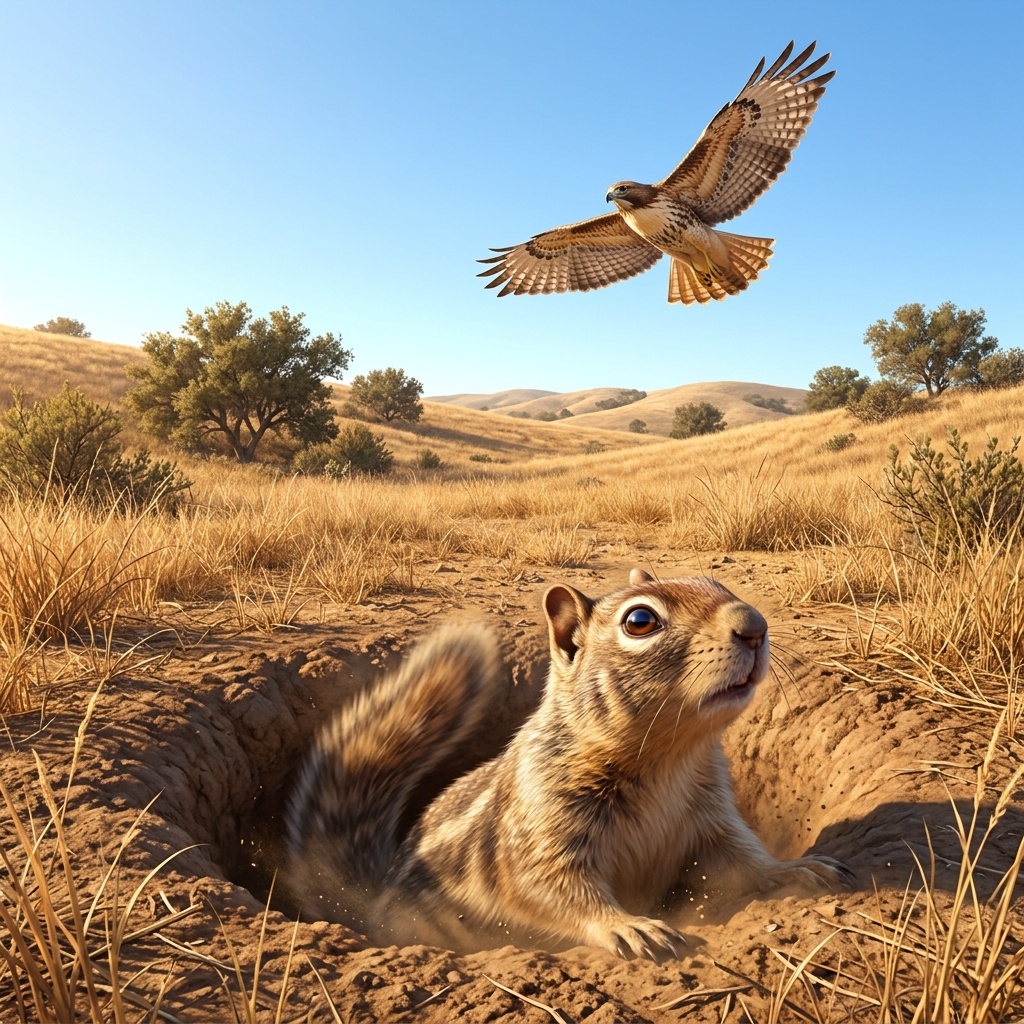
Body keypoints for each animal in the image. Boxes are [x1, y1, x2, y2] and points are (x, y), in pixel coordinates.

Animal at [286, 569, 855, 959]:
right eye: (641, 620)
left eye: (713, 580)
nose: (754, 625)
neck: (666, 757)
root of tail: (372, 898)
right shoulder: (542, 826)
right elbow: (552, 888)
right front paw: (630, 926)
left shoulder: (713, 819)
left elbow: (744, 863)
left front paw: (798, 868)